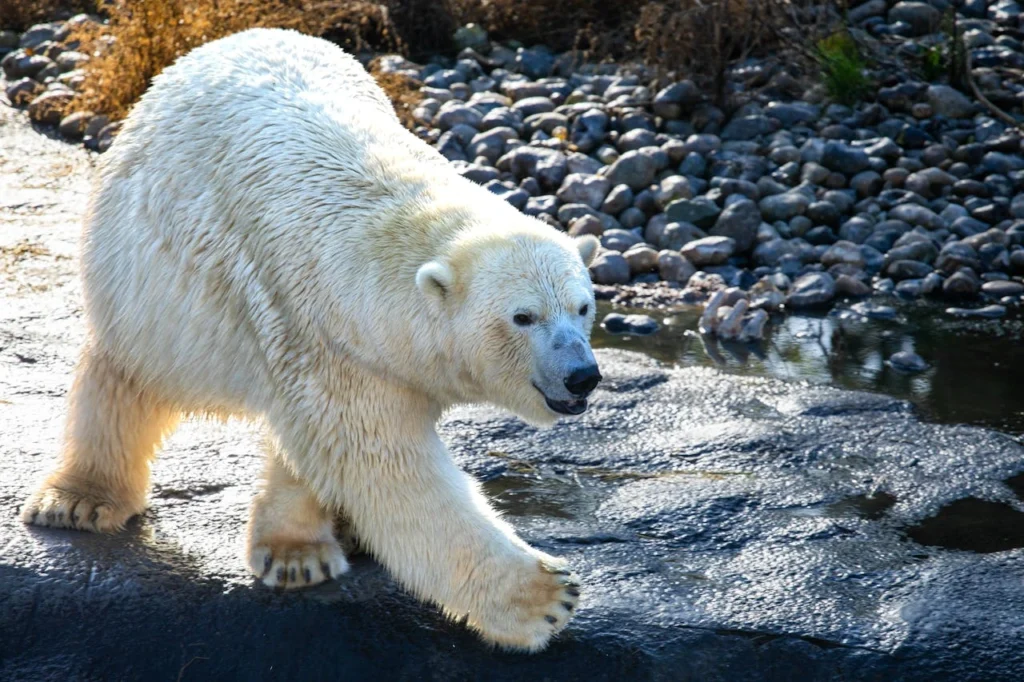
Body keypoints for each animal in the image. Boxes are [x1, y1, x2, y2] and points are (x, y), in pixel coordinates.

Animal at [22, 29, 598, 651]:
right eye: (524, 317)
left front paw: (300, 552)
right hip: (143, 275)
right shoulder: (317, 329)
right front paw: (545, 596)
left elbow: (321, 448)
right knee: (128, 375)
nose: (583, 376)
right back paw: (80, 500)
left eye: (583, 306)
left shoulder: (333, 346)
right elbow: (388, 468)